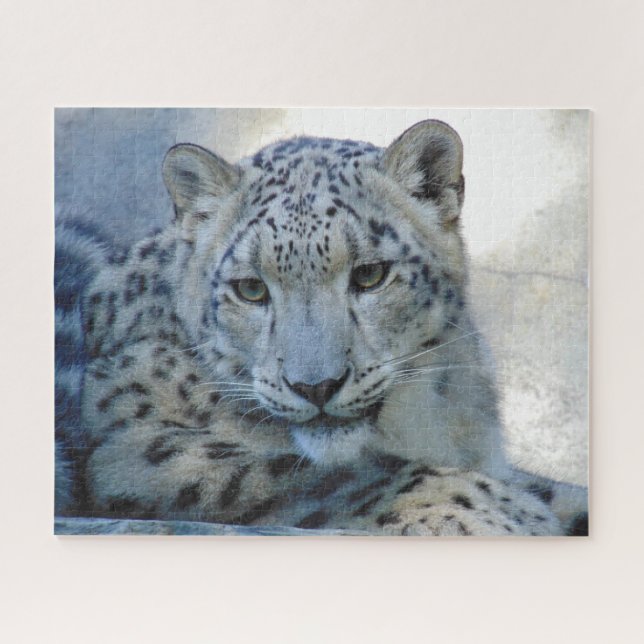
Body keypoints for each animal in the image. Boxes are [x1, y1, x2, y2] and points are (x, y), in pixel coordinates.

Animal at [55, 119, 588, 536]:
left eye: (370, 274)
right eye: (251, 288)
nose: (316, 386)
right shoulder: (139, 444)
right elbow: (309, 473)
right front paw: (501, 510)